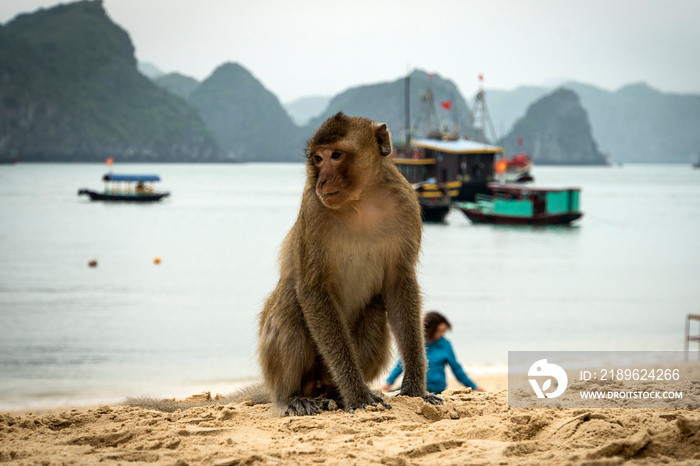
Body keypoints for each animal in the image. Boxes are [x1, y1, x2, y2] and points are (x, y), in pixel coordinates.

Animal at [258, 113, 442, 416]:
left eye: (335, 155)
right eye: (317, 158)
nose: (322, 181)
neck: (362, 199)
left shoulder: (406, 203)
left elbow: (399, 283)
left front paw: (416, 389)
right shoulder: (313, 207)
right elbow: (312, 289)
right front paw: (357, 395)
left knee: (375, 308)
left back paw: (336, 393)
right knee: (290, 299)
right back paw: (292, 397)